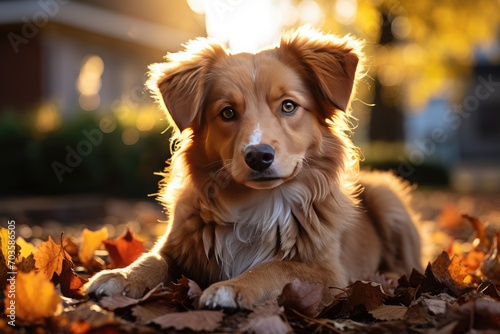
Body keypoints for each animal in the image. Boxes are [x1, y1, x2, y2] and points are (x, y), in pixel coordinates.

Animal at [86, 26, 422, 310]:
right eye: (227, 112)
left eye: (288, 106)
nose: (259, 156)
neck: (257, 204)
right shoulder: (175, 245)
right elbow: (152, 259)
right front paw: (121, 276)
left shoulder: (329, 274)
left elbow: (273, 267)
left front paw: (232, 287)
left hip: (388, 197)